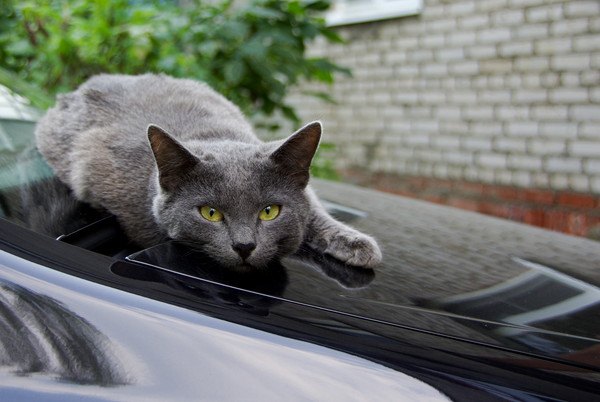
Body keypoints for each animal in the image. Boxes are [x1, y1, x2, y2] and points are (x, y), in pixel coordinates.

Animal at [35, 74, 382, 268]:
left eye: (269, 211)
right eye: (210, 213)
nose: (244, 246)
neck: (214, 136)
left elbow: (316, 211)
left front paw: (356, 245)